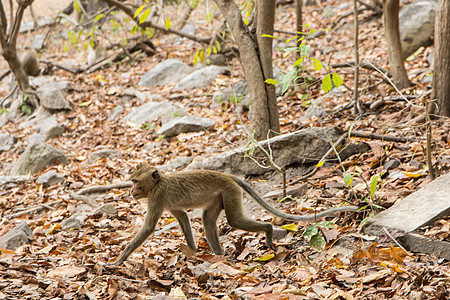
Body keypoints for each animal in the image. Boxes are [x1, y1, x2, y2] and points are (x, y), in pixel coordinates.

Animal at [112, 164, 358, 264]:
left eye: (135, 182)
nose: (131, 191)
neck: (158, 182)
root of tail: (229, 176)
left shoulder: (157, 196)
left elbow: (149, 228)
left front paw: (119, 260)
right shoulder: (164, 200)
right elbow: (182, 218)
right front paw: (192, 251)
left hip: (230, 192)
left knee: (235, 220)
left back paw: (268, 231)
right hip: (220, 195)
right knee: (208, 219)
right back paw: (219, 255)